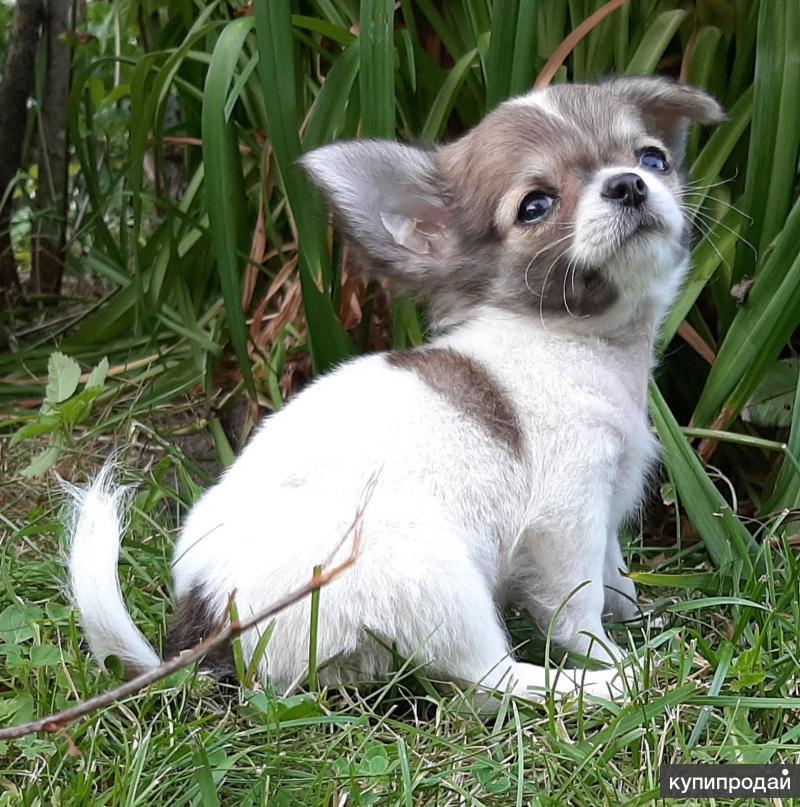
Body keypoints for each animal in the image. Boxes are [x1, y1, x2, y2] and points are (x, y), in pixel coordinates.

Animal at [70, 79, 724, 704]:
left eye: (652, 158)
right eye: (535, 205)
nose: (629, 184)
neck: (578, 341)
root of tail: (209, 624)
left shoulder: (605, 506)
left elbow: (616, 578)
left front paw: (644, 620)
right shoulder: (566, 517)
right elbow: (578, 608)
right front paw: (611, 658)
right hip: (430, 572)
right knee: (486, 683)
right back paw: (598, 688)